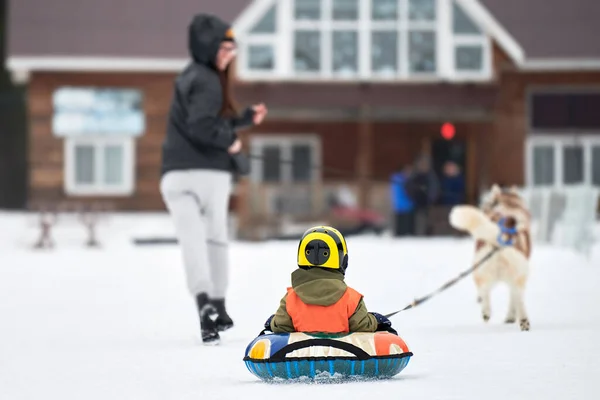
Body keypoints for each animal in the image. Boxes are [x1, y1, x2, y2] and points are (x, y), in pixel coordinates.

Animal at [450, 184, 528, 332]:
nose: (483, 207)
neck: (508, 205)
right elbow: (512, 299)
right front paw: (510, 317)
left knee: (486, 292)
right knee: (510, 297)